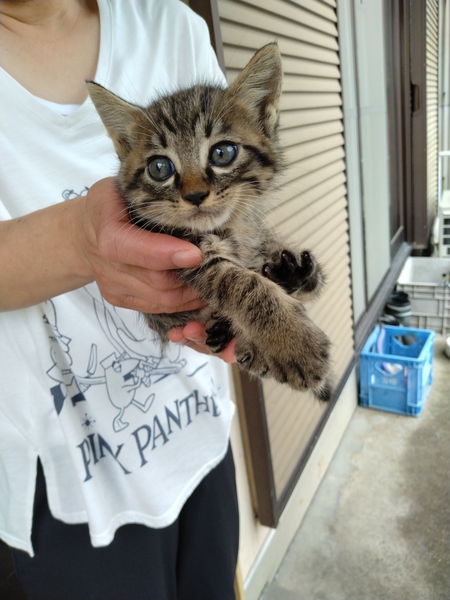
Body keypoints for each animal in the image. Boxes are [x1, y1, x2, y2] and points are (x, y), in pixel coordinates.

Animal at [87, 43, 332, 401]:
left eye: (222, 153)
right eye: (159, 168)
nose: (195, 195)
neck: (231, 227)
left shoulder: (257, 234)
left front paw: (302, 274)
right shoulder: (187, 253)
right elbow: (242, 283)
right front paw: (292, 344)